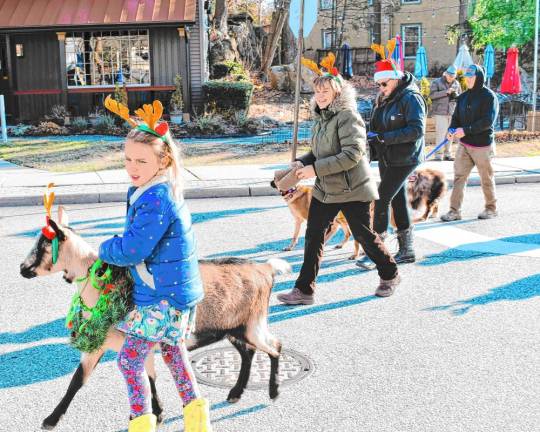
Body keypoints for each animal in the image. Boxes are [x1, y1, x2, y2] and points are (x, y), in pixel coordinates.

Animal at [20, 208, 292, 430]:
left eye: (43, 245)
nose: (22, 269)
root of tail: (265, 269)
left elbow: (141, 377)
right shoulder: (106, 345)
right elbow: (80, 380)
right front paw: (51, 419)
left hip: (254, 323)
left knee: (275, 346)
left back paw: (274, 391)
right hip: (235, 327)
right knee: (248, 352)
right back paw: (236, 392)